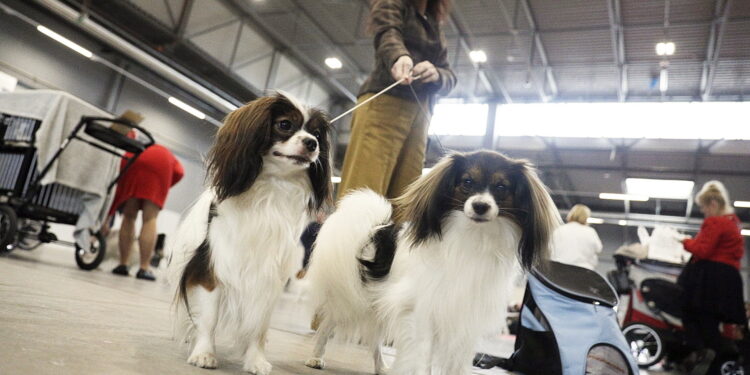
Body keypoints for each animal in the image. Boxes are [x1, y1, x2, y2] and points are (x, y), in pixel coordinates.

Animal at [170, 92, 334, 374]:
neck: (271, 189)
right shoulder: (213, 268)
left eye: (316, 134)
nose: (312, 144)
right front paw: (204, 353)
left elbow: (259, 326)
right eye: (285, 125)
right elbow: (209, 317)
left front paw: (255, 360)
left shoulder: (269, 277)